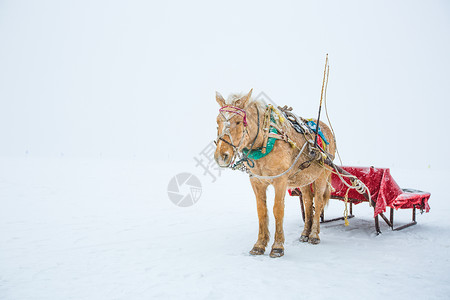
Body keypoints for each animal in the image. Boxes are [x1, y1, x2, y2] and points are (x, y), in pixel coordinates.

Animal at [214, 89, 334, 258]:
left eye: (238, 122)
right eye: (217, 121)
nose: (221, 156)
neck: (265, 140)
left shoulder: (280, 180)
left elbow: (278, 210)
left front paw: (277, 246)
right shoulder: (256, 181)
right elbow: (262, 211)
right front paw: (259, 244)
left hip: (323, 175)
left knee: (318, 201)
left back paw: (314, 235)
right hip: (304, 178)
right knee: (307, 201)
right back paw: (305, 232)